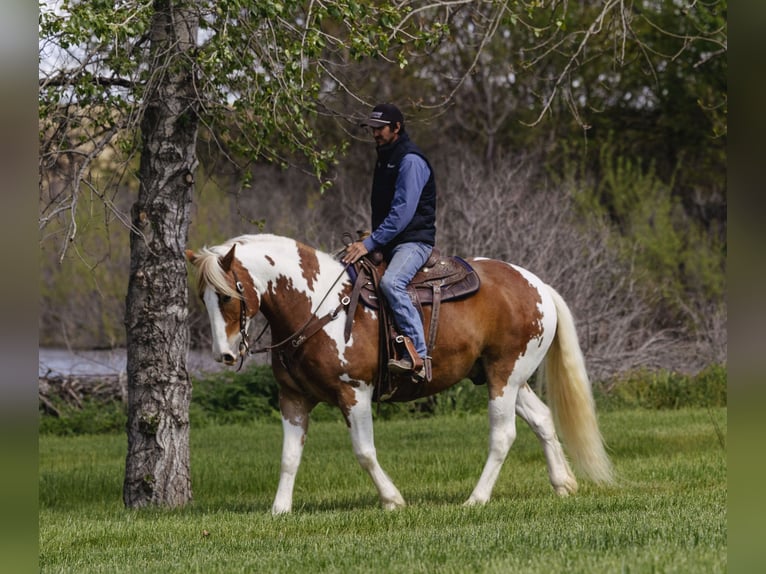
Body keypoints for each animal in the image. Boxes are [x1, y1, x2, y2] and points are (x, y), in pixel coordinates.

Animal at [185, 233, 613, 514]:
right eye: (202, 297)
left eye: (226, 295)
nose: (224, 354)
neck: (319, 307)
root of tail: (538, 286)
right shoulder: (293, 398)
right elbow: (289, 456)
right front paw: (279, 510)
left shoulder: (354, 393)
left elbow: (364, 451)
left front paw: (392, 500)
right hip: (508, 378)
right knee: (542, 419)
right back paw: (562, 485)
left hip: (503, 376)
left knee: (503, 435)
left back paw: (475, 499)